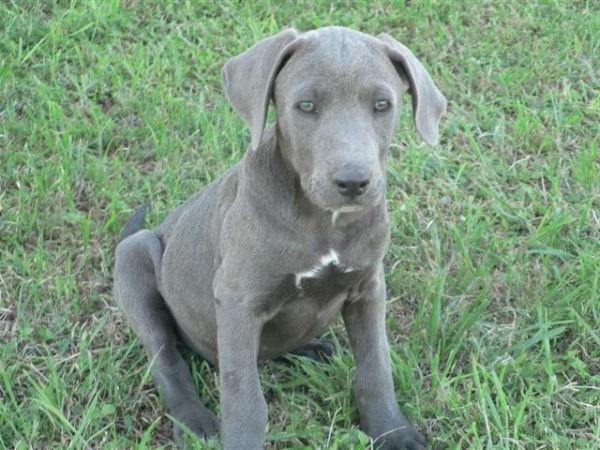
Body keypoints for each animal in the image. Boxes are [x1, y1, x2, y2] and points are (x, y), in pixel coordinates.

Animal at [116, 26, 446, 448]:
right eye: (305, 105)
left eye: (382, 104)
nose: (353, 182)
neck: (324, 221)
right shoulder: (238, 300)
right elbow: (245, 399)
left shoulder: (368, 288)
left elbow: (376, 366)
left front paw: (393, 431)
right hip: (133, 255)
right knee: (167, 358)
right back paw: (193, 420)